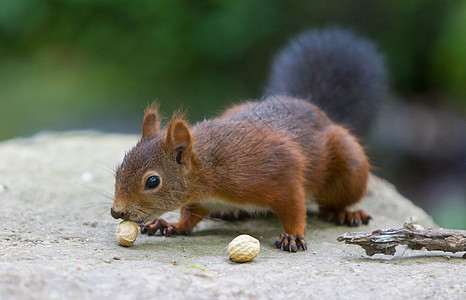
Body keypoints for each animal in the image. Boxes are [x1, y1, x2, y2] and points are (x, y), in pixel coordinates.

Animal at [109, 28, 386, 253]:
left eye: (152, 181)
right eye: (118, 171)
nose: (116, 212)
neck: (210, 169)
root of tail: (316, 108)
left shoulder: (280, 172)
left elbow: (294, 207)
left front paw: (293, 236)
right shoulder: (201, 200)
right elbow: (191, 215)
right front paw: (172, 224)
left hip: (349, 167)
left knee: (331, 203)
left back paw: (345, 213)